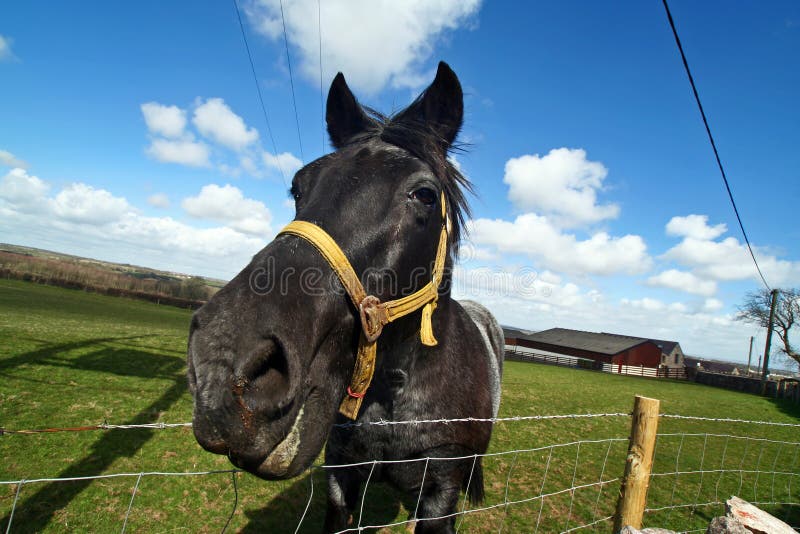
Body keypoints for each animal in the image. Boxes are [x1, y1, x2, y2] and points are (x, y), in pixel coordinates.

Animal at [187, 62, 504, 533]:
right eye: (299, 187)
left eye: (425, 194)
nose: (222, 369)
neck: (396, 389)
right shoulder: (341, 475)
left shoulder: (441, 493)